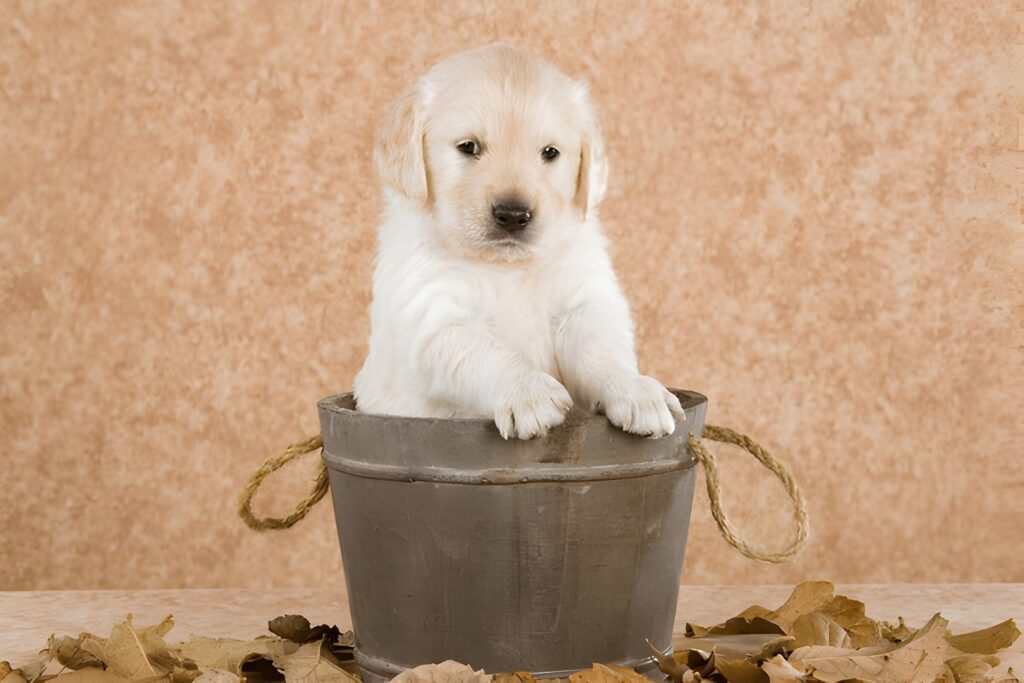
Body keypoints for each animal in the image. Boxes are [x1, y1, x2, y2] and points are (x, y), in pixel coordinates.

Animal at [356, 44, 684, 438]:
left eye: (550, 153)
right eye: (468, 147)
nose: (513, 215)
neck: (506, 266)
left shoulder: (583, 302)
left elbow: (601, 351)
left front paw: (634, 389)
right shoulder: (435, 314)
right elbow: (485, 352)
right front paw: (528, 392)